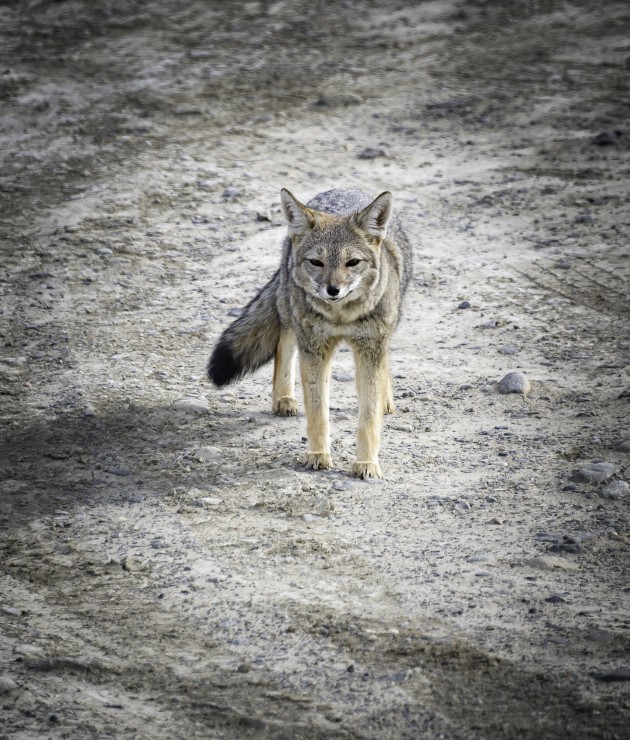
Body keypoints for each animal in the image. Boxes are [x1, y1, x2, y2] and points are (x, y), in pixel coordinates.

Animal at [209, 189, 414, 480]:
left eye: (352, 263)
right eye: (317, 262)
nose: (333, 290)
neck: (341, 318)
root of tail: (342, 190)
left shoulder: (369, 347)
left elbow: (368, 415)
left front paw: (366, 463)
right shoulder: (315, 350)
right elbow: (318, 412)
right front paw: (317, 455)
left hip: (387, 328)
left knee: (384, 362)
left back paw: (386, 399)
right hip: (291, 314)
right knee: (283, 344)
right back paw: (283, 398)